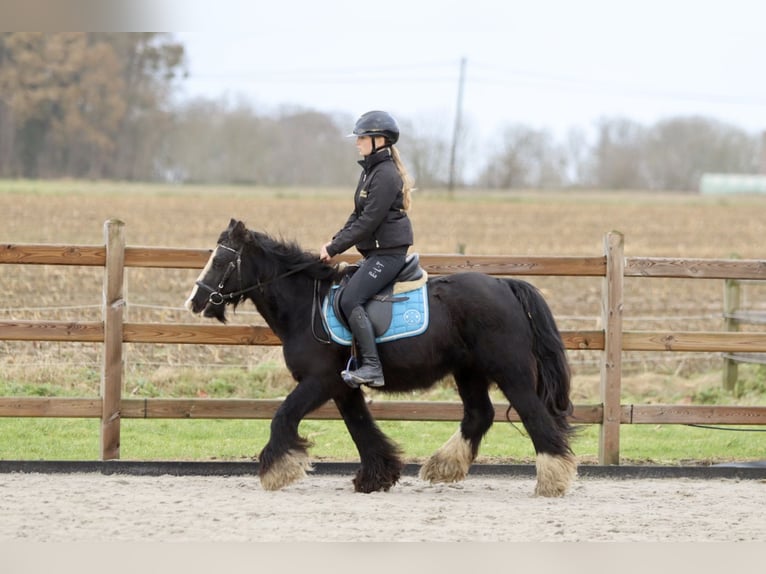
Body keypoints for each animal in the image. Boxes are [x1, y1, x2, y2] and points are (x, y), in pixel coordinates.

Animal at [186, 218, 580, 498]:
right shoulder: (343, 387)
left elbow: (283, 416)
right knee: (479, 415)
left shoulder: (318, 381)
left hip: (510, 372)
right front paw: (376, 477)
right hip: (469, 372)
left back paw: (552, 480)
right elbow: (361, 427)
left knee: (533, 415)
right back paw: (443, 466)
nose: (195, 301)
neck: (305, 307)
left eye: (221, 260)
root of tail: (505, 285)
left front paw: (276, 470)